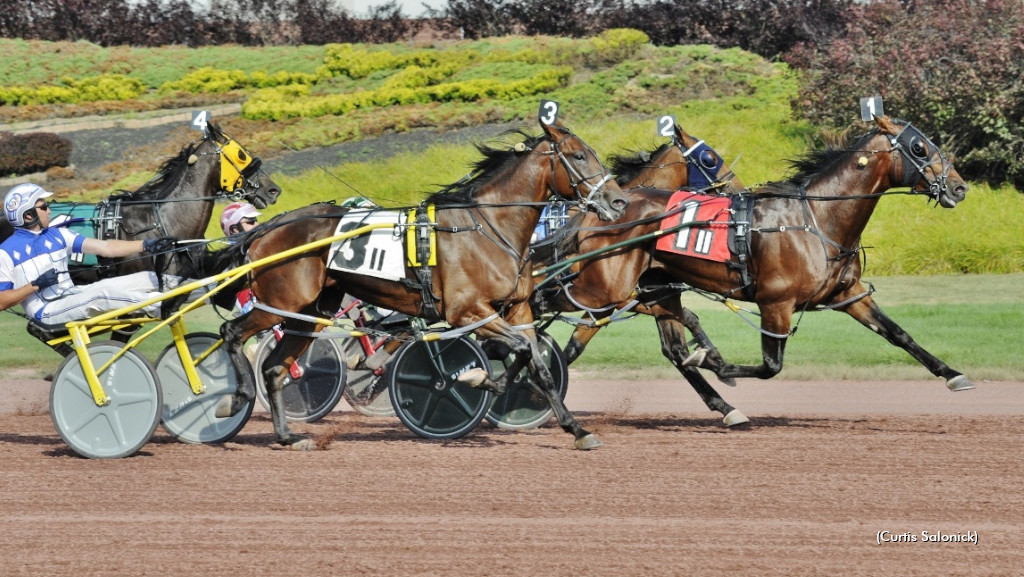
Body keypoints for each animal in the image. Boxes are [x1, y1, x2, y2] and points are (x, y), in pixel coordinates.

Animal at [210, 118, 626, 450]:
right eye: (578, 156)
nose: (619, 201)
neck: (488, 227)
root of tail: (267, 228)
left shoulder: (517, 309)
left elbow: (537, 364)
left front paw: (576, 430)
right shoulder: (466, 311)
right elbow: (520, 349)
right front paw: (480, 379)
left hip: (309, 313)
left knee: (274, 370)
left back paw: (287, 436)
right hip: (279, 303)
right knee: (232, 333)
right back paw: (235, 399)